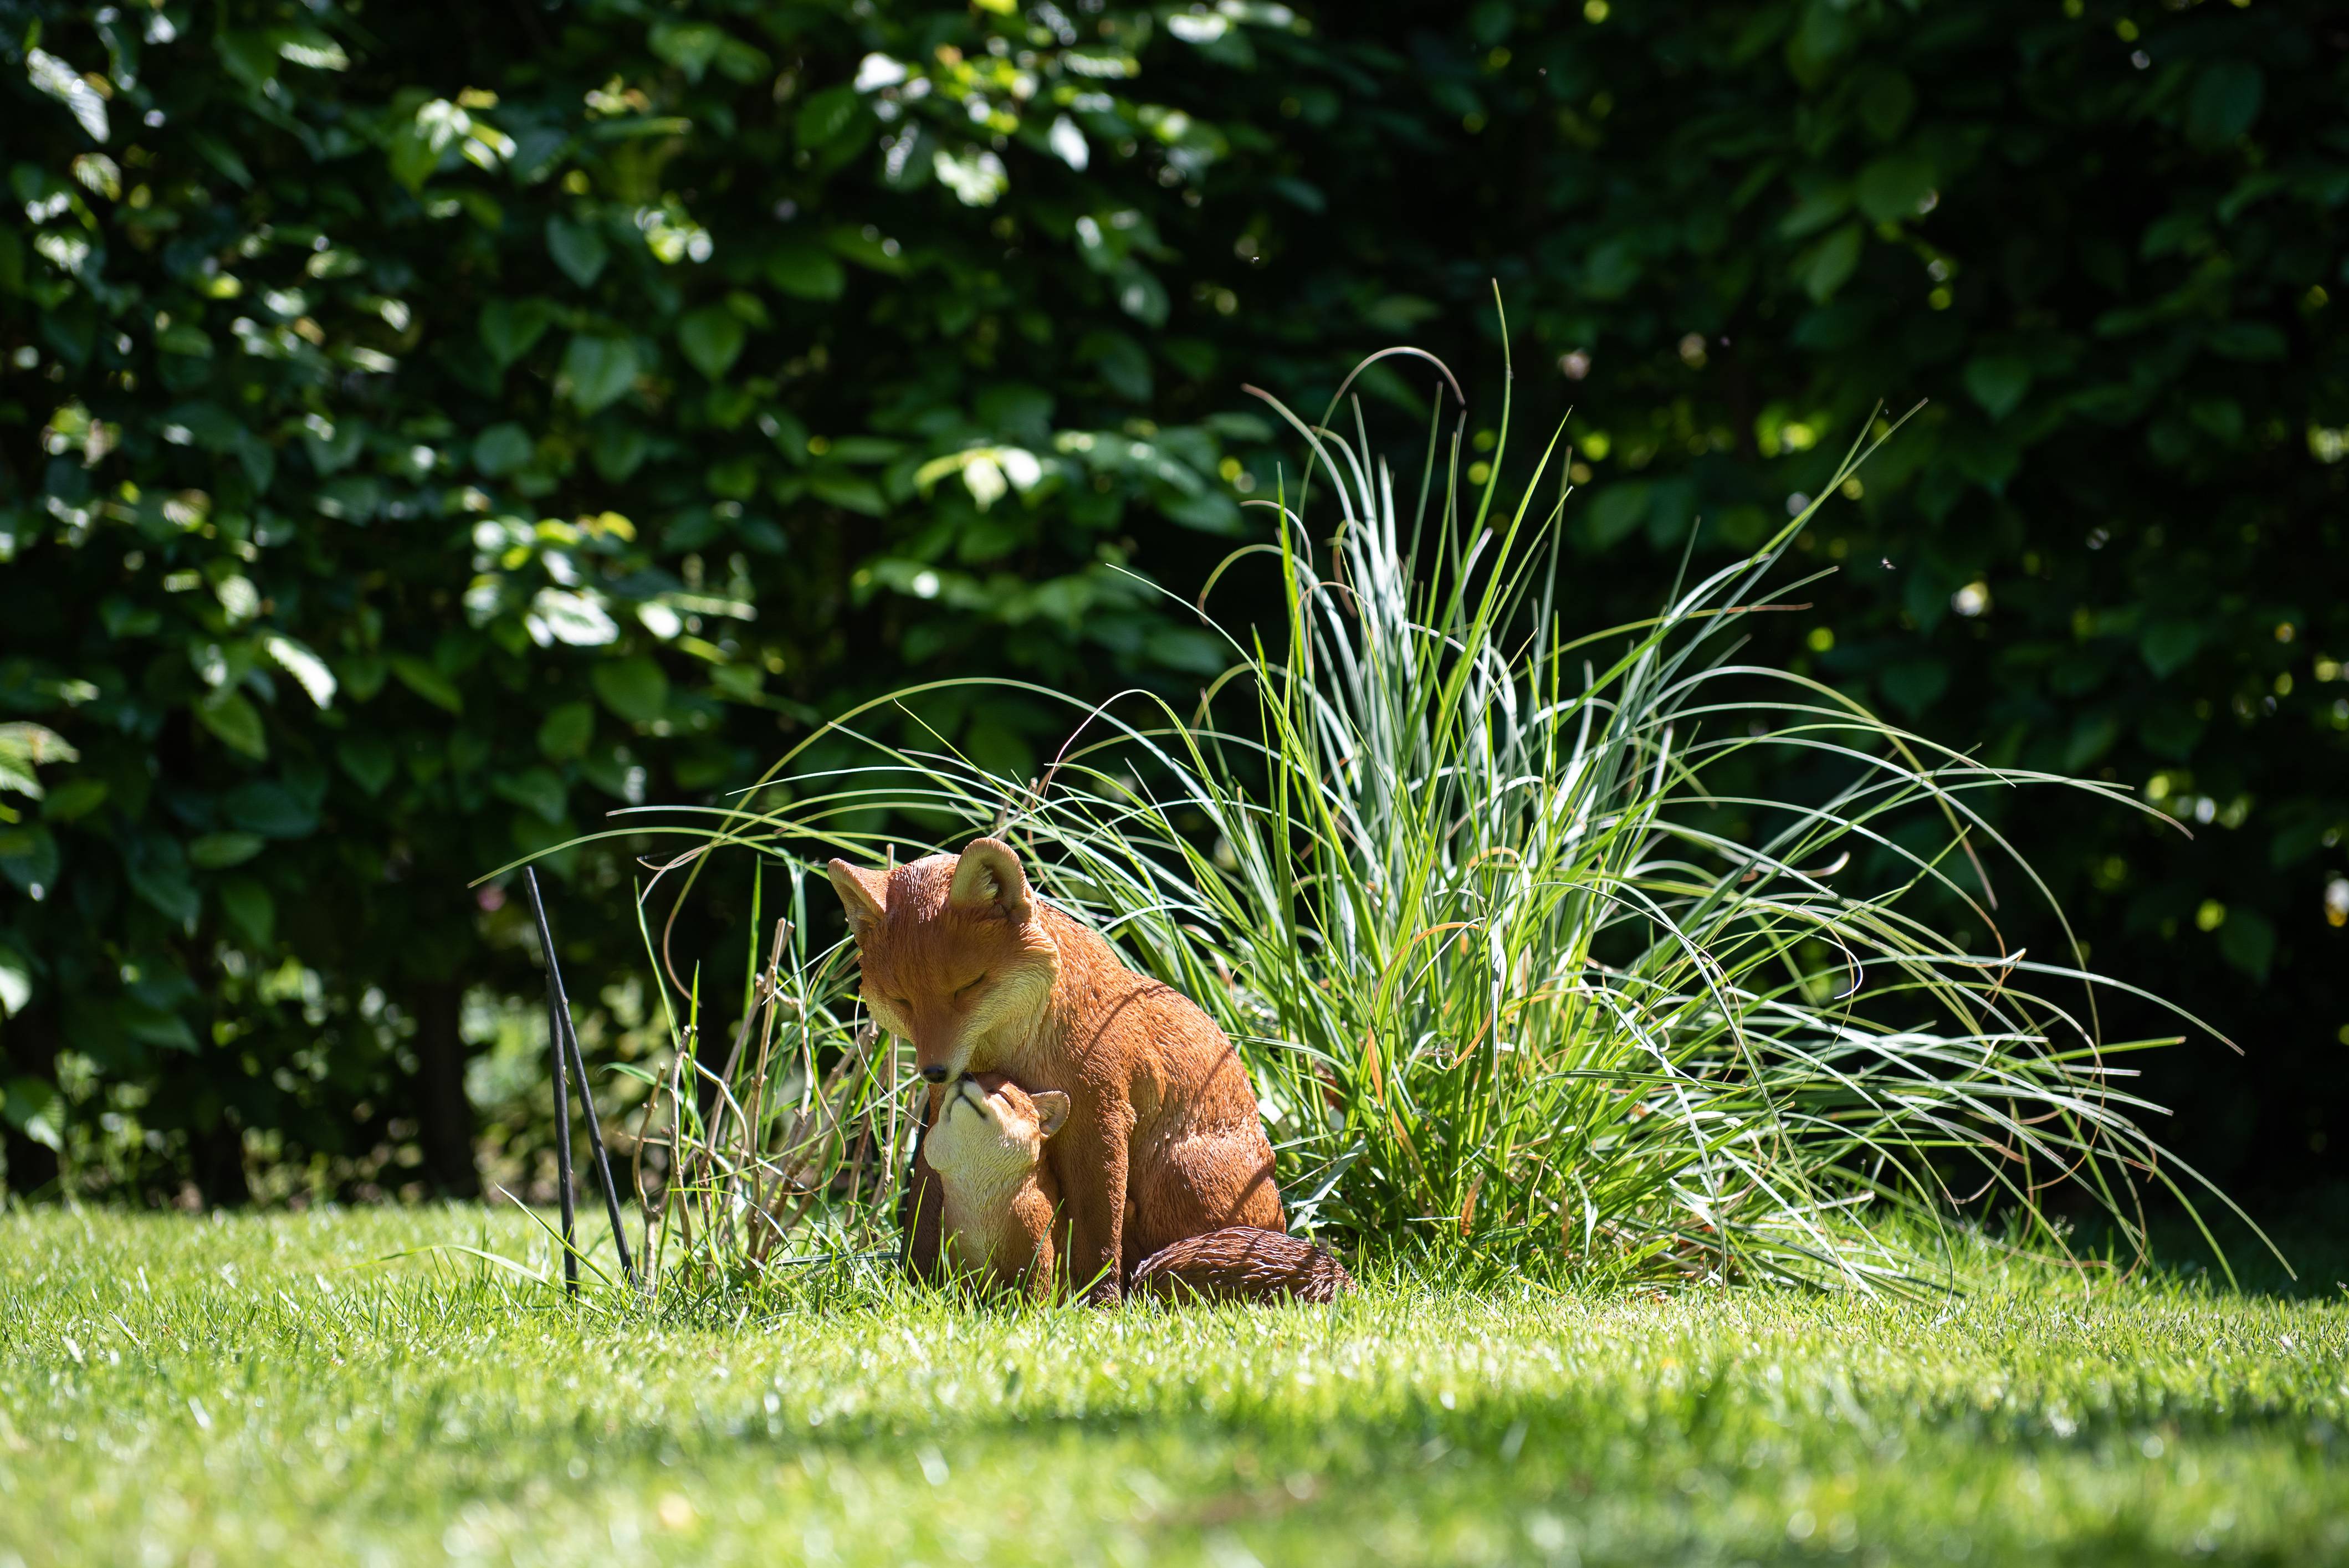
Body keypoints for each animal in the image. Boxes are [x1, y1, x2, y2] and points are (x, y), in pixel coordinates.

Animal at [827, 835, 1283, 1302]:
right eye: (901, 1000)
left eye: (968, 986)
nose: (934, 1072)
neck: (1014, 1054)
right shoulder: (941, 1113)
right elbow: (922, 1209)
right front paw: (915, 1290)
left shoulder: (1099, 1118)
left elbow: (1097, 1233)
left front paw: (1100, 1306)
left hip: (1180, 1178)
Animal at [923, 1070, 1352, 1305]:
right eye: (970, 1075)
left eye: (1002, 1093)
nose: (961, 1076)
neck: (985, 1216)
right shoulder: (957, 1254)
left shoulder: (1037, 1247)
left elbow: (1037, 1298)